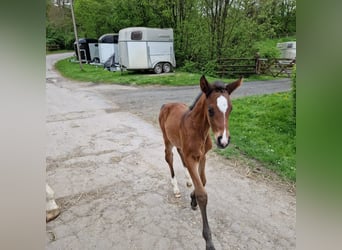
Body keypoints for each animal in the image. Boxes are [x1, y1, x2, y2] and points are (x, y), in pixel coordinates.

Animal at [159, 75, 242, 249]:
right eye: (210, 110)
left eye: (230, 109)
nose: (223, 141)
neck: (198, 130)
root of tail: (166, 104)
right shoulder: (192, 157)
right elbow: (202, 193)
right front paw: (209, 241)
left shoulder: (203, 156)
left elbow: (202, 181)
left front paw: (193, 198)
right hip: (167, 140)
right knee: (169, 158)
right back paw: (176, 188)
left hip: (179, 144)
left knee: (180, 155)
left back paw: (188, 180)